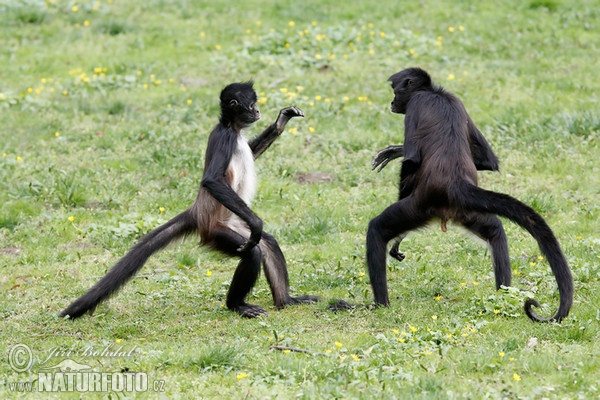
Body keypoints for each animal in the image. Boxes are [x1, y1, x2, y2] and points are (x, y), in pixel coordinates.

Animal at [61, 81, 322, 318]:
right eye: (251, 105)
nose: (257, 112)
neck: (232, 129)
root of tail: (197, 211)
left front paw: (280, 122)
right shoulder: (224, 139)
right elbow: (212, 180)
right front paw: (258, 223)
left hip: (237, 224)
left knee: (268, 243)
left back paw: (286, 301)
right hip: (217, 231)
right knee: (253, 251)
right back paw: (236, 305)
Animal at [364, 68, 576, 322]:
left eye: (396, 92)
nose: (392, 103)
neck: (435, 93)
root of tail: (455, 185)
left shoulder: (416, 104)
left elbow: (412, 160)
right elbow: (488, 161)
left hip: (421, 205)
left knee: (376, 229)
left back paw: (379, 305)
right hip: (465, 210)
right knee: (496, 231)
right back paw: (501, 299)